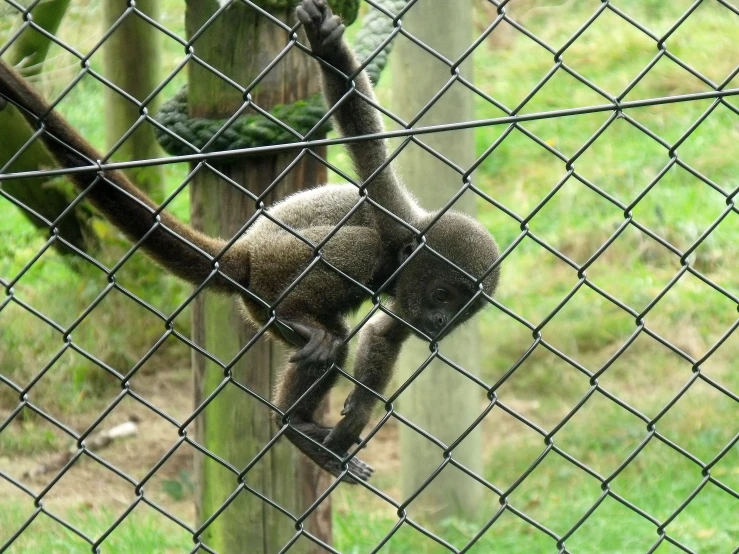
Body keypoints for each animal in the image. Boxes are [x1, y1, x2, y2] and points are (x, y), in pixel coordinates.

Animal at [0, 0, 500, 484]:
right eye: (442, 293)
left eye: (460, 310)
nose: (440, 321)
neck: (407, 250)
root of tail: (241, 253)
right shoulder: (396, 219)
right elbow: (359, 128)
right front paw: (329, 49)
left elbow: (384, 334)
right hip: (276, 265)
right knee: (359, 254)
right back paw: (300, 347)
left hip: (260, 306)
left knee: (334, 343)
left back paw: (295, 425)